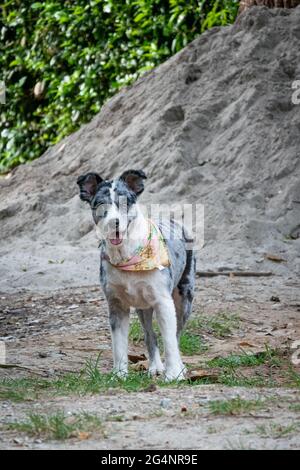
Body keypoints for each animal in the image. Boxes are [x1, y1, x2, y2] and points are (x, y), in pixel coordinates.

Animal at [76, 169, 196, 382]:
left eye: (125, 203)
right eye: (99, 204)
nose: (114, 222)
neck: (127, 254)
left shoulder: (164, 302)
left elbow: (170, 340)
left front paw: (174, 374)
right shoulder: (116, 306)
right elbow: (119, 345)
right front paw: (119, 375)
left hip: (184, 298)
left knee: (176, 335)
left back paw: (178, 367)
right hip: (143, 307)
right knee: (150, 335)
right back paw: (155, 367)